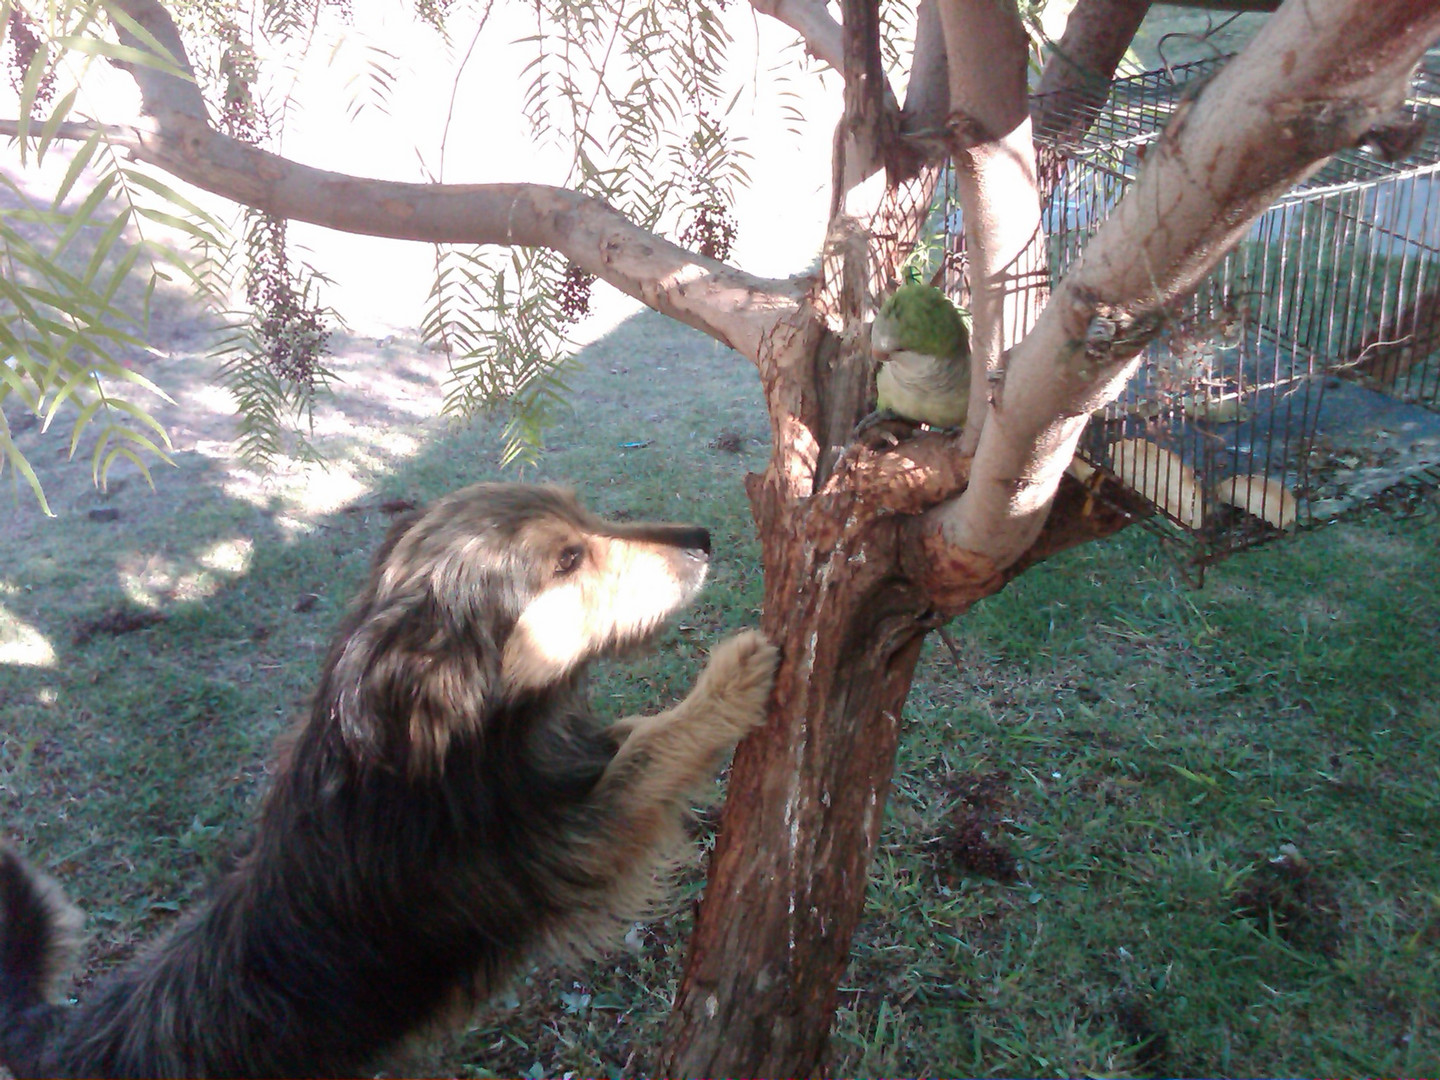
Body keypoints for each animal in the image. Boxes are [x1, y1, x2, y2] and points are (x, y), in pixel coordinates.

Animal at [0, 486, 777, 1077]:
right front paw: (727, 681)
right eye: (567, 558)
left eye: (584, 514)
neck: (440, 738)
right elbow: (649, 747)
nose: (702, 538)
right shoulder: (572, 842)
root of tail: (60, 1039)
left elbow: (630, 735)